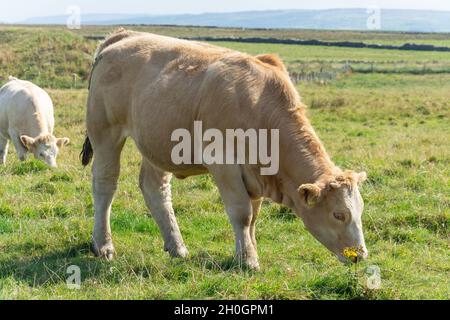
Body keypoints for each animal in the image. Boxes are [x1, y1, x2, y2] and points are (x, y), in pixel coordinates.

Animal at [81, 29, 370, 270]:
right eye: (339, 214)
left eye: (361, 210)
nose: (360, 256)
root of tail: (124, 35)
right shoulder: (224, 164)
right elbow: (241, 214)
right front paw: (248, 260)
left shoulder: (256, 175)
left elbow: (253, 217)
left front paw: (249, 252)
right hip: (105, 132)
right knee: (105, 184)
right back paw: (103, 245)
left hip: (156, 141)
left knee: (155, 188)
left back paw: (177, 247)